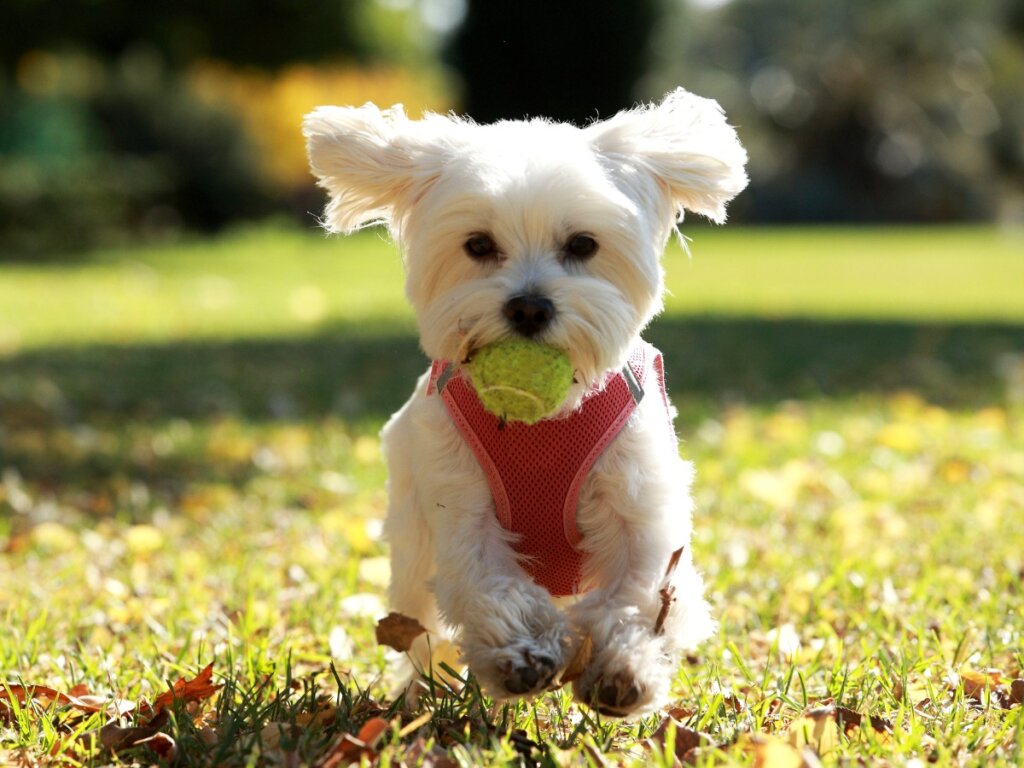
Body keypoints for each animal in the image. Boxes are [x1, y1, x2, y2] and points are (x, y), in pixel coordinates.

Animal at [301, 90, 745, 720]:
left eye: (582, 244)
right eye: (479, 245)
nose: (530, 307)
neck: (545, 421)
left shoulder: (637, 500)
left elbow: (638, 589)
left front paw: (626, 666)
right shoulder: (460, 501)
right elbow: (486, 578)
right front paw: (522, 653)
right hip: (411, 541)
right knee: (420, 627)